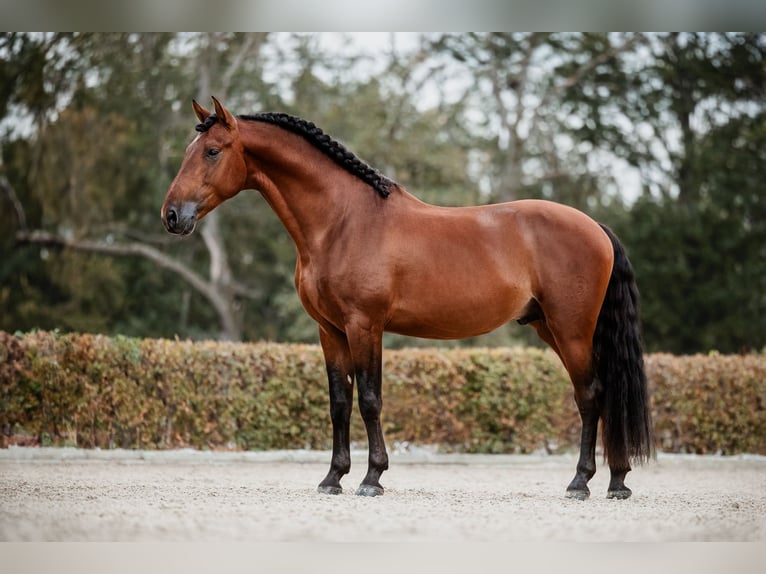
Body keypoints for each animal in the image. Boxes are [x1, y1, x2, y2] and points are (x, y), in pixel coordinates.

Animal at [162, 98, 656, 500]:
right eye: (188, 150)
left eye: (212, 151)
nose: (171, 216)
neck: (343, 222)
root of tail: (596, 228)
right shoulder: (330, 331)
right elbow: (339, 402)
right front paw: (332, 478)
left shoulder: (365, 325)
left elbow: (369, 399)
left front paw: (371, 478)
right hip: (548, 327)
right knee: (602, 392)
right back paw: (617, 480)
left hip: (571, 330)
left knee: (590, 395)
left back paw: (581, 482)